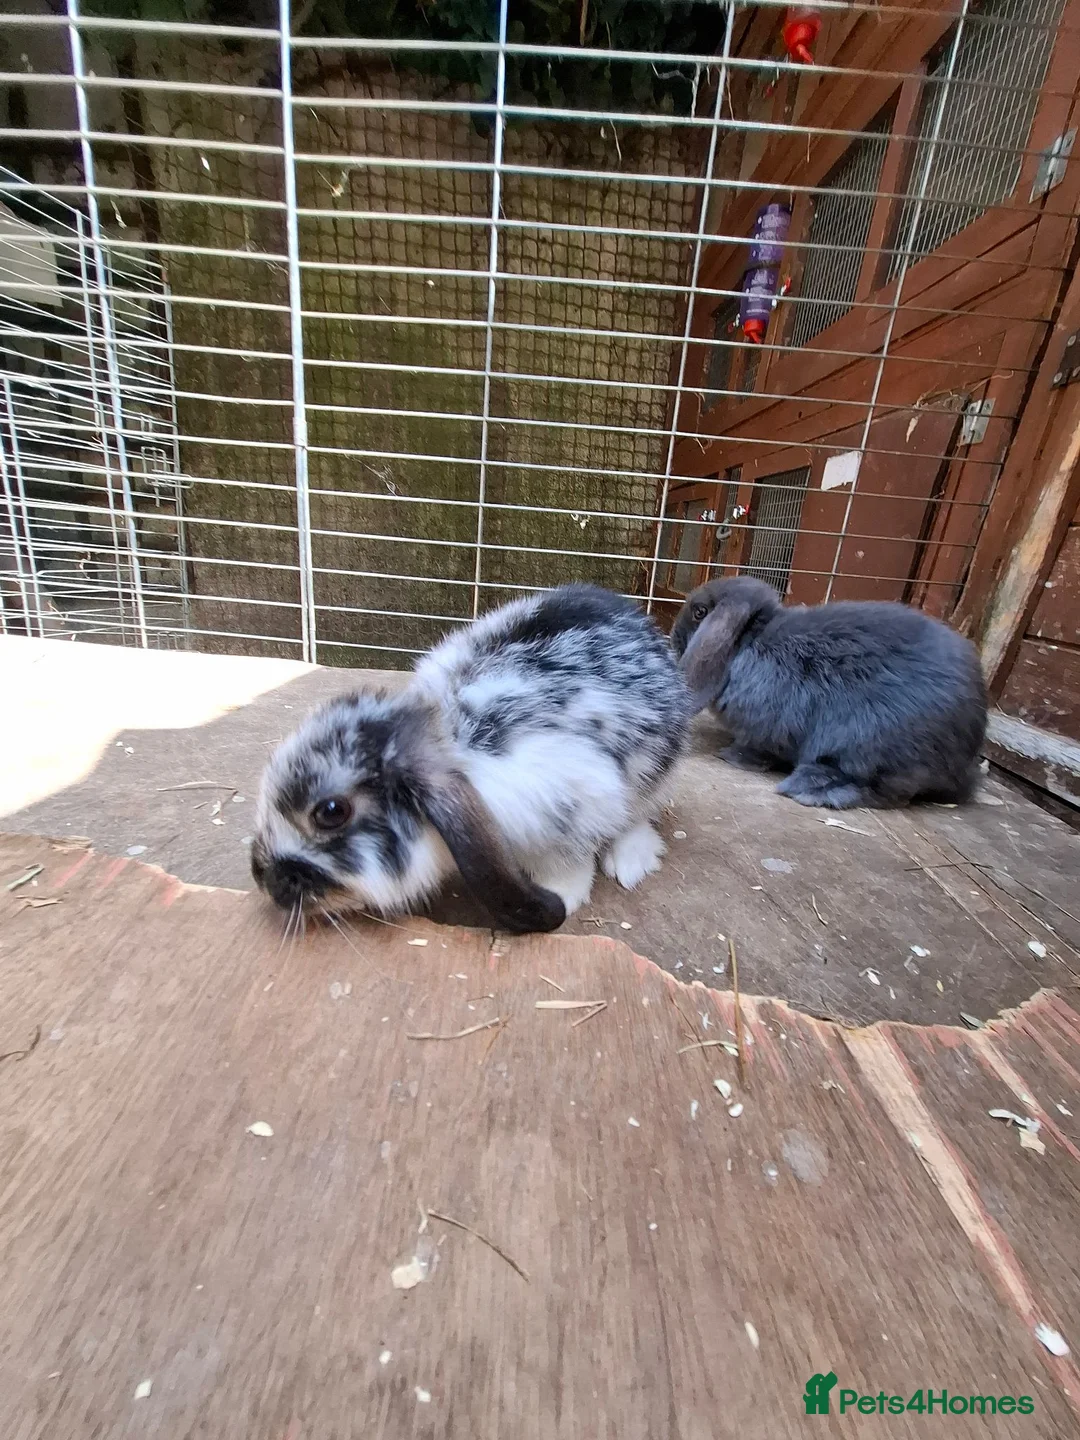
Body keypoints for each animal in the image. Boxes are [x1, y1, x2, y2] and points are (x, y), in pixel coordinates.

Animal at [252, 584, 690, 933]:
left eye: (330, 812)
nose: (263, 878)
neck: (457, 742)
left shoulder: (581, 800)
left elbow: (569, 861)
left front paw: (562, 895)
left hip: (655, 770)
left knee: (638, 815)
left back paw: (631, 861)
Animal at [671, 576, 987, 810]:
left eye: (700, 612)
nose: (674, 636)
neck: (751, 641)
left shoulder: (768, 727)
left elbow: (759, 749)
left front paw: (732, 756)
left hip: (869, 743)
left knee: (886, 793)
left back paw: (809, 790)